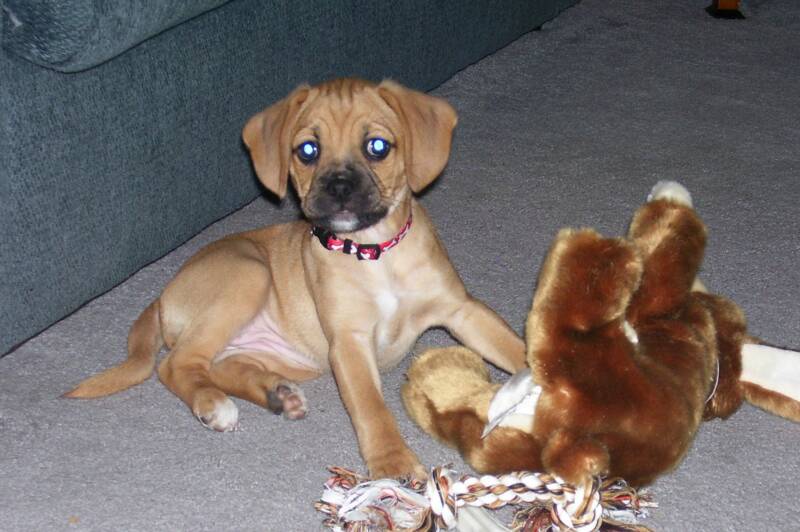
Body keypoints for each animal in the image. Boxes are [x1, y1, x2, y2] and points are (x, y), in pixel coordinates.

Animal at [69, 78, 528, 478]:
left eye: (377, 146)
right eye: (308, 150)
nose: (339, 186)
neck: (375, 253)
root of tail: (163, 297)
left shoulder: (462, 311)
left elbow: (518, 350)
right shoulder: (349, 341)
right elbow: (371, 408)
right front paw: (392, 463)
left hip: (277, 351)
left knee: (218, 364)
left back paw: (276, 394)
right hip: (248, 275)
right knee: (177, 364)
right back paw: (213, 404)